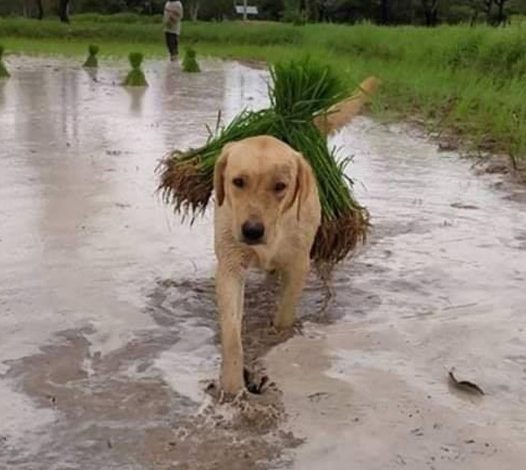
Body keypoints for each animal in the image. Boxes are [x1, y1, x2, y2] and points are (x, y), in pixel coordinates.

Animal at [213, 134, 322, 394]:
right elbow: (232, 334)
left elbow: (284, 314)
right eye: (238, 181)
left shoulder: (298, 264)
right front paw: (232, 386)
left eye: (280, 186)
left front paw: (277, 337)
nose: (252, 230)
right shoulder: (230, 265)